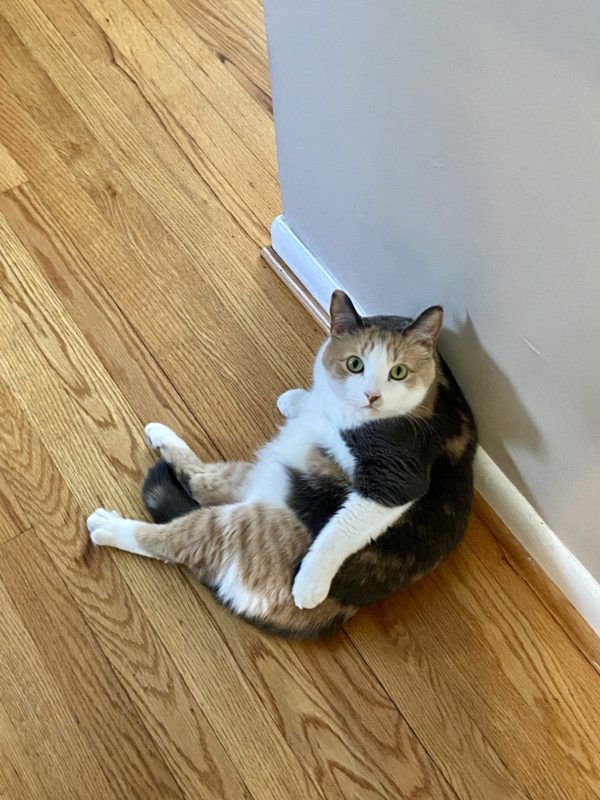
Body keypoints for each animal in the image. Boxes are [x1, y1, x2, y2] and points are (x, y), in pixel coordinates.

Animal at [86, 290, 476, 640]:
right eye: (355, 364)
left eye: (398, 372)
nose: (372, 396)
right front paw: (300, 400)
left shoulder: (395, 480)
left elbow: (342, 530)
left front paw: (309, 583)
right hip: (261, 471)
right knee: (199, 480)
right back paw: (161, 435)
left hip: (247, 521)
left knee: (176, 538)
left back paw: (109, 527)